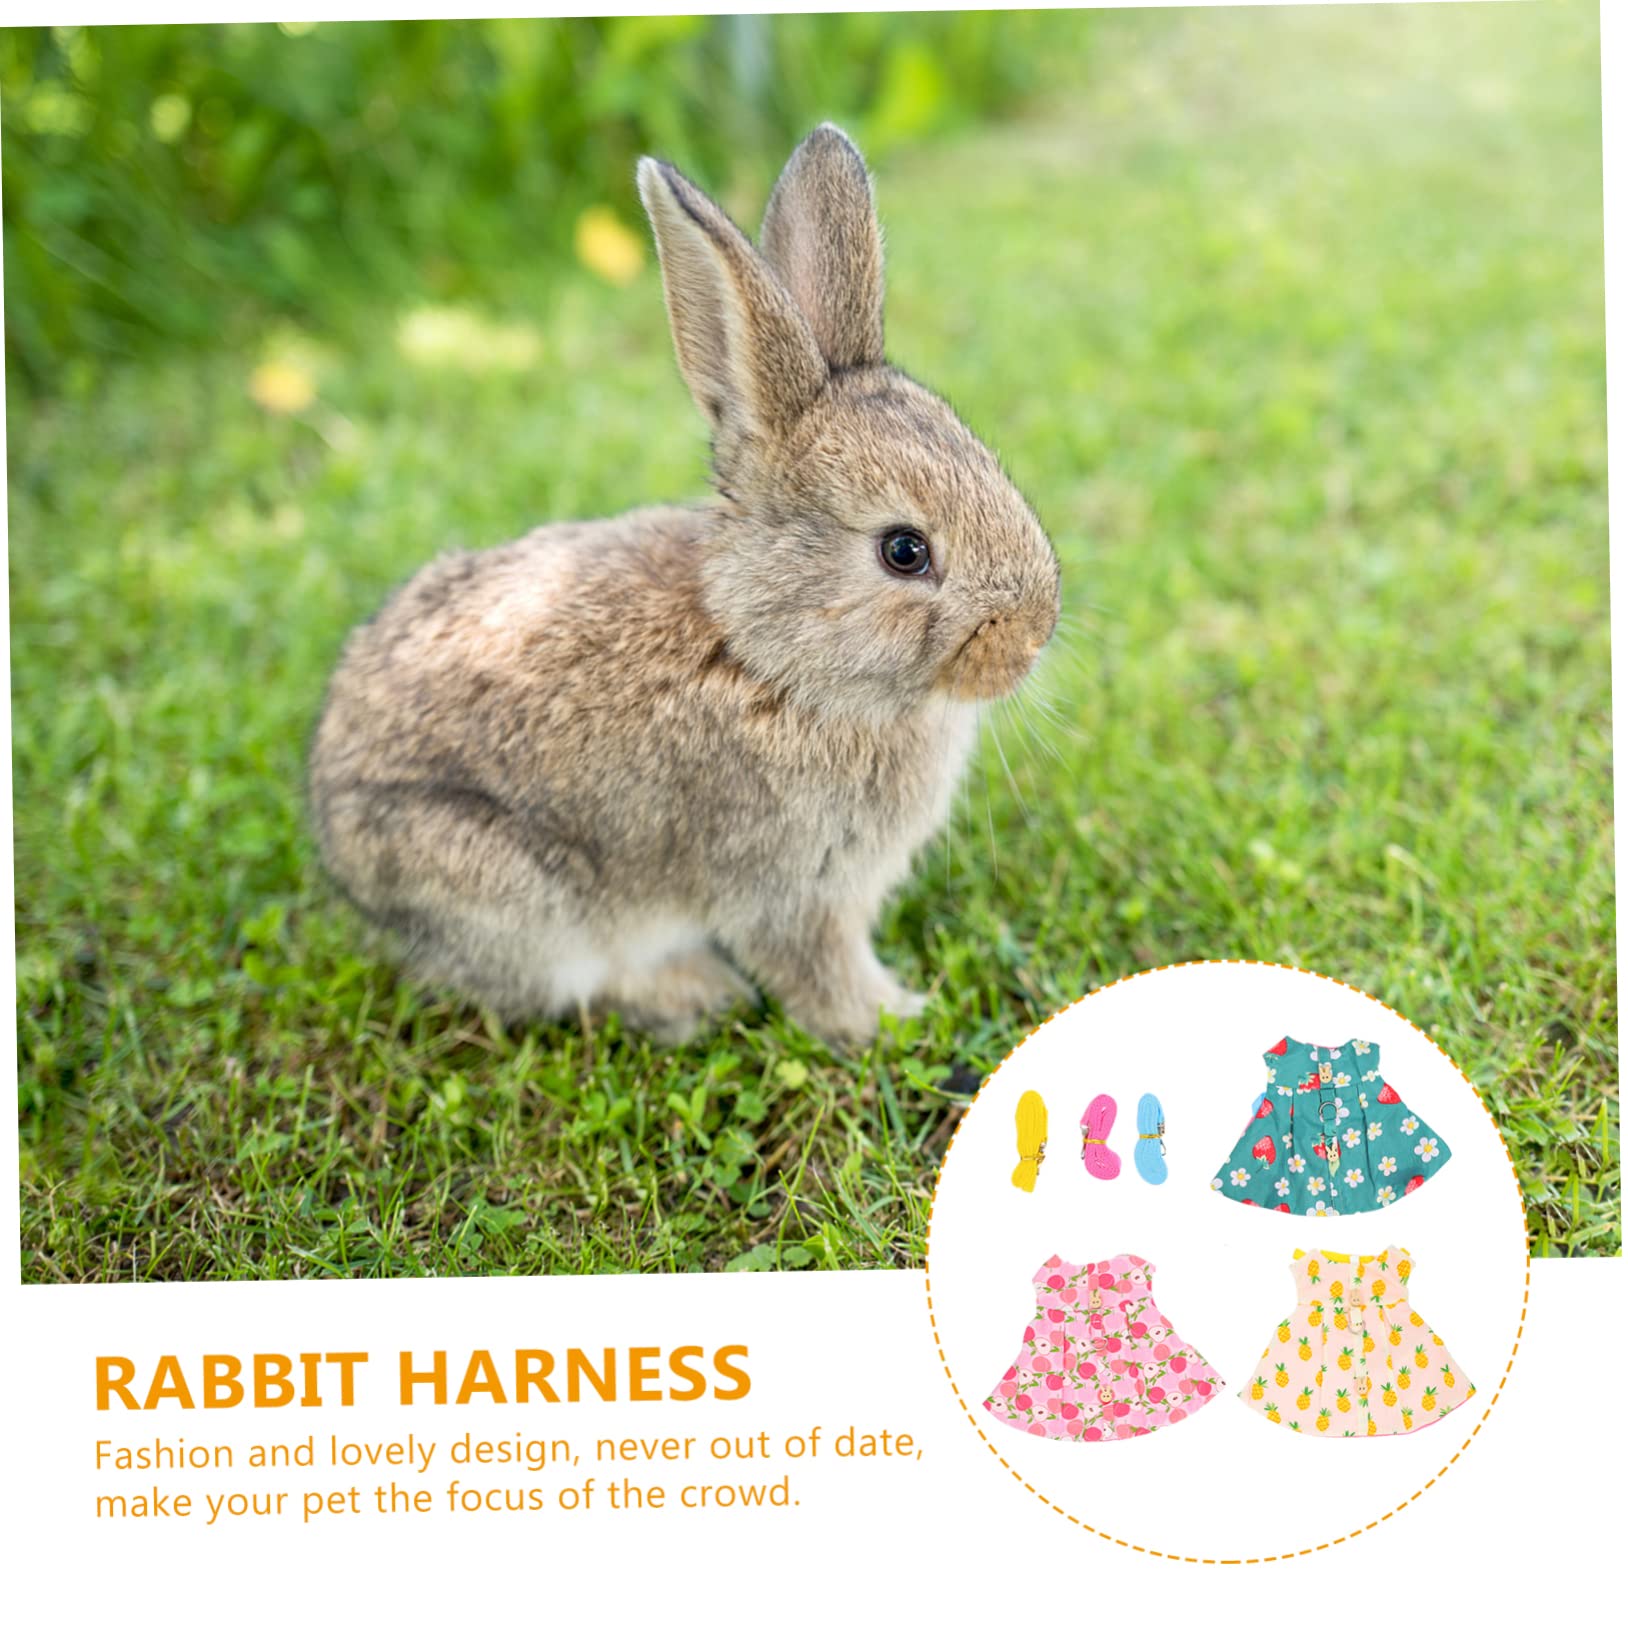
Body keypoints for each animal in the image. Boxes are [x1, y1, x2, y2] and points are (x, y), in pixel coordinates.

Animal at [308, 124, 1060, 1048]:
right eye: (905, 551)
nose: (1033, 636)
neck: (767, 661)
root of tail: (334, 835)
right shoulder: (790, 887)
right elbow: (820, 973)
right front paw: (895, 1019)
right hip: (510, 893)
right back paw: (693, 993)